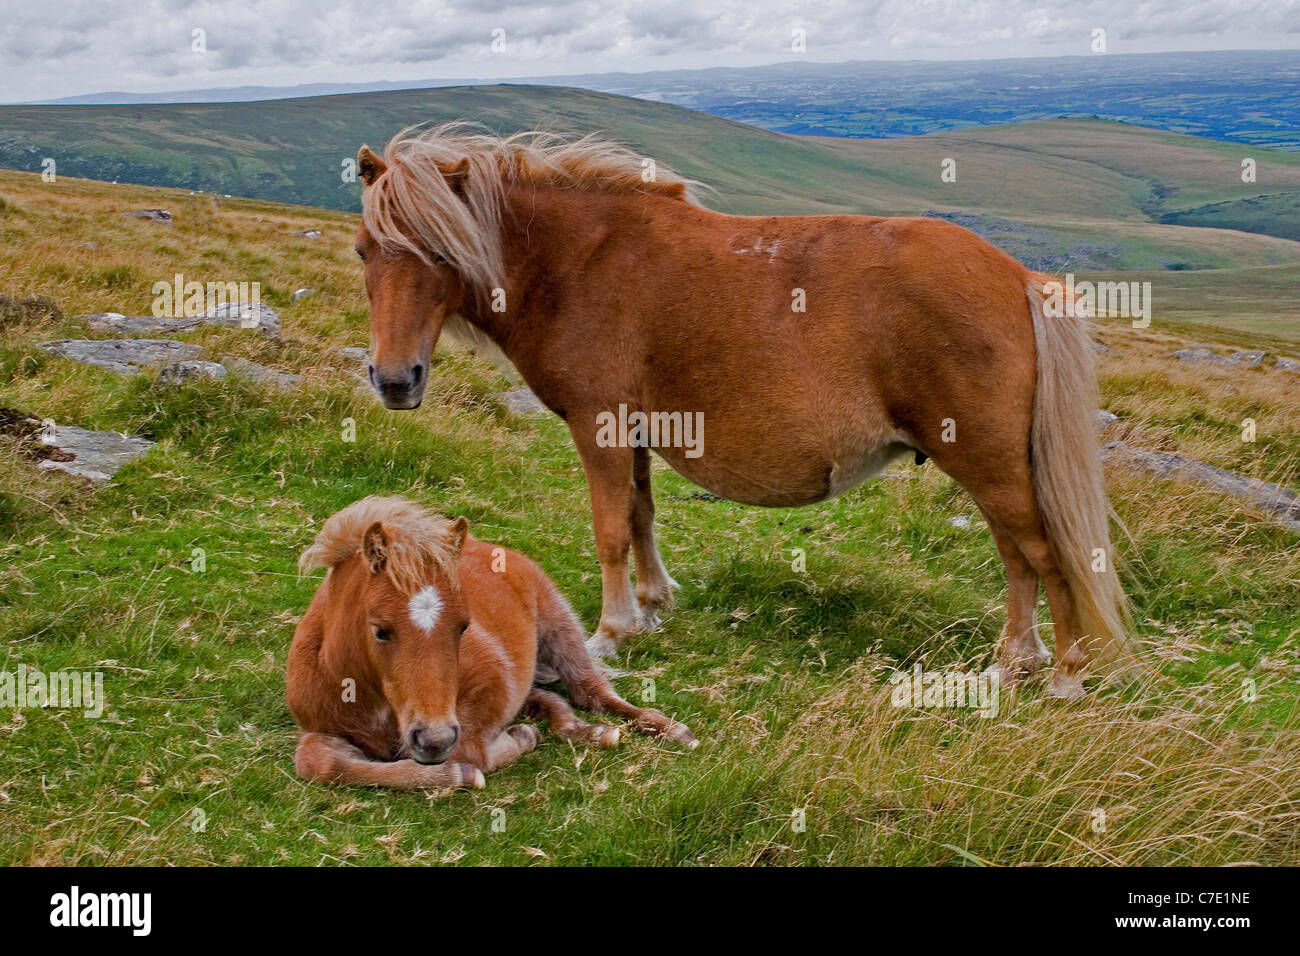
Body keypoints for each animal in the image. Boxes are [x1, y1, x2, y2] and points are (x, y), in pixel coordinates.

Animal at [287, 496, 696, 790]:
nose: (433, 740)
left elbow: (470, 751)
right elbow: (316, 762)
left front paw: (513, 743)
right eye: (380, 630)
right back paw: (583, 730)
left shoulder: (493, 680)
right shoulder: (319, 727)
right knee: (551, 699)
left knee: (590, 692)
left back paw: (664, 729)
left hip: (560, 626)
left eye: (463, 627)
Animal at [350, 124, 1130, 700]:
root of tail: (1018, 276)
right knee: (1016, 554)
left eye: (440, 253)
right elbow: (640, 515)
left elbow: (609, 529)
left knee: (1039, 552)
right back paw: (1014, 662)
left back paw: (1063, 676)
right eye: (363, 250)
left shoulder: (599, 424)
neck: (577, 264)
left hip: (985, 458)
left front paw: (612, 631)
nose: (395, 380)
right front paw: (654, 604)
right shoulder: (637, 428)